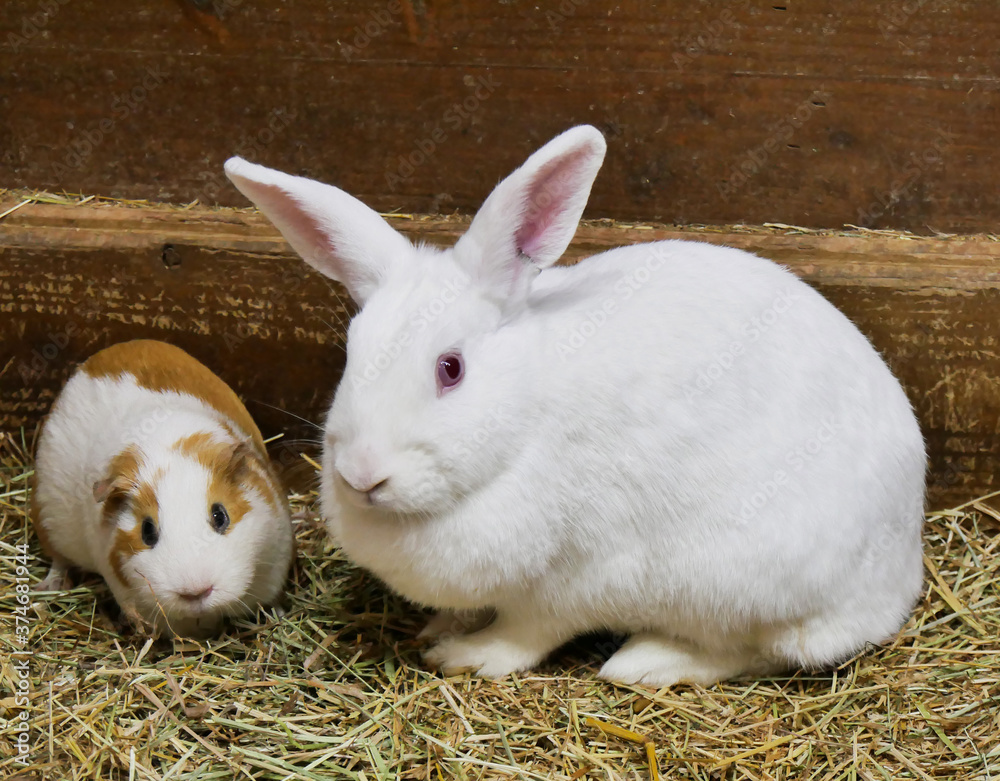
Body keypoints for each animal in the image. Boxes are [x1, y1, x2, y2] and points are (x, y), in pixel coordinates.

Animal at [32, 339, 295, 638]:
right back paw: (48, 588)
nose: (195, 592)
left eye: (220, 516)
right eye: (147, 530)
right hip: (48, 522)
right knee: (58, 562)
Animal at [223, 125, 926, 685]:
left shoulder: (577, 580)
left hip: (741, 584)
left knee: (757, 651)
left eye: (451, 369)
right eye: (352, 353)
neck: (521, 424)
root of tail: (902, 577)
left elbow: (529, 632)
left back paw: (645, 663)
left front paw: (465, 654)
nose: (362, 476)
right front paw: (440, 626)